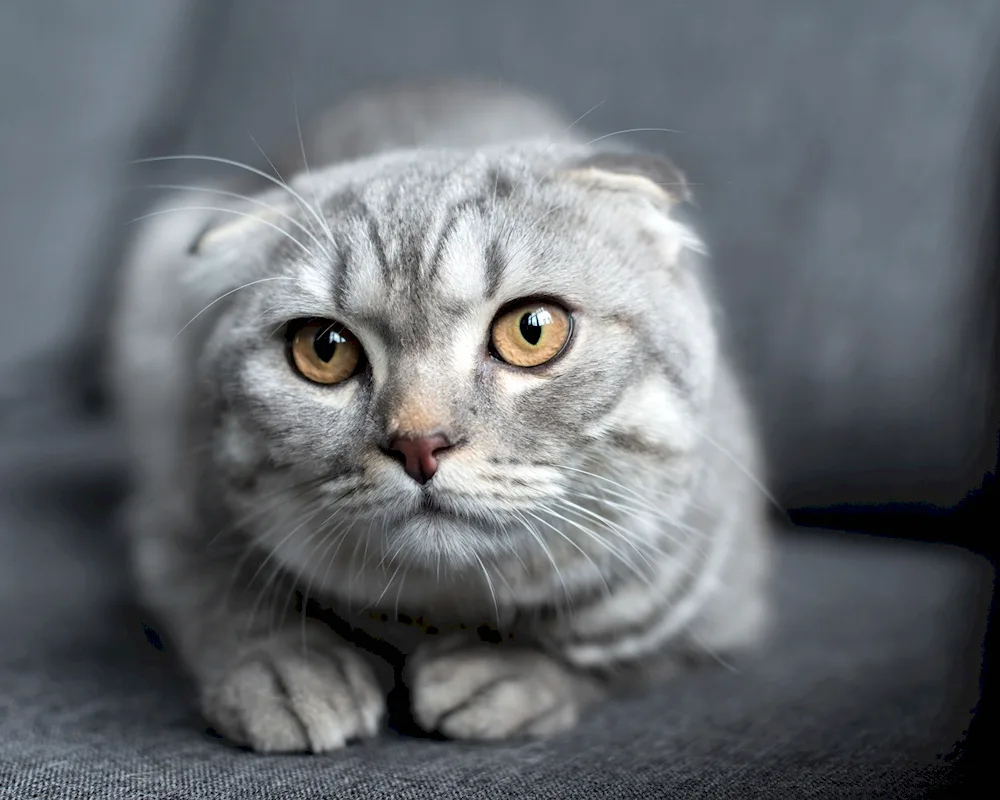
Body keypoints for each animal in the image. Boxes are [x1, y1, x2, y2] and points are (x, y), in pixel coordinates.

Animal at [113, 79, 772, 752]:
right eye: (324, 347)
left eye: (532, 330)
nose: (419, 443)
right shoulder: (176, 520)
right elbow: (226, 599)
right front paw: (289, 671)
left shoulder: (722, 593)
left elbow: (619, 652)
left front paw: (507, 669)